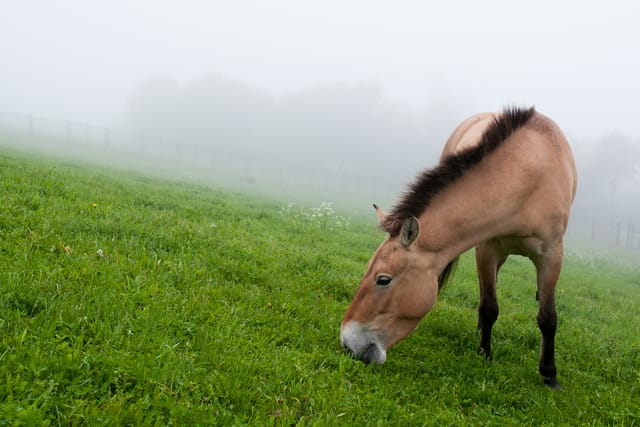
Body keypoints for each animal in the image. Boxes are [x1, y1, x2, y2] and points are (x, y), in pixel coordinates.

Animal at [342, 105, 576, 390]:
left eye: (383, 279)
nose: (347, 344)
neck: (527, 177)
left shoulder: (552, 255)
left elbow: (548, 318)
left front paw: (549, 374)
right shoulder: (487, 249)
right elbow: (489, 306)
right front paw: (485, 353)